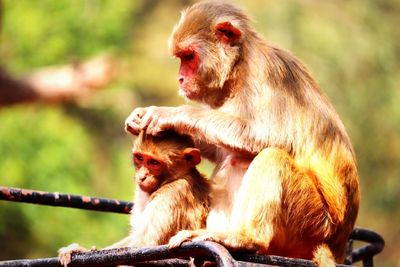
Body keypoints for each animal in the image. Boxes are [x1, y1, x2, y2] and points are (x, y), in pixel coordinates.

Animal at [59, 131, 211, 266]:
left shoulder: (172, 192)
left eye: (154, 162)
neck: (177, 177)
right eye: (139, 158)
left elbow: (142, 247)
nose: (142, 176)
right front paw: (81, 250)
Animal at [125, 0, 360, 266]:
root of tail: (337, 246)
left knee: (268, 156)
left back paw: (244, 238)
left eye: (188, 56)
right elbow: (220, 150)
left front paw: (169, 115)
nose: (180, 78)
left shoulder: (264, 74)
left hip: (314, 224)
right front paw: (142, 117)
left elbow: (269, 136)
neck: (239, 68)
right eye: (181, 58)